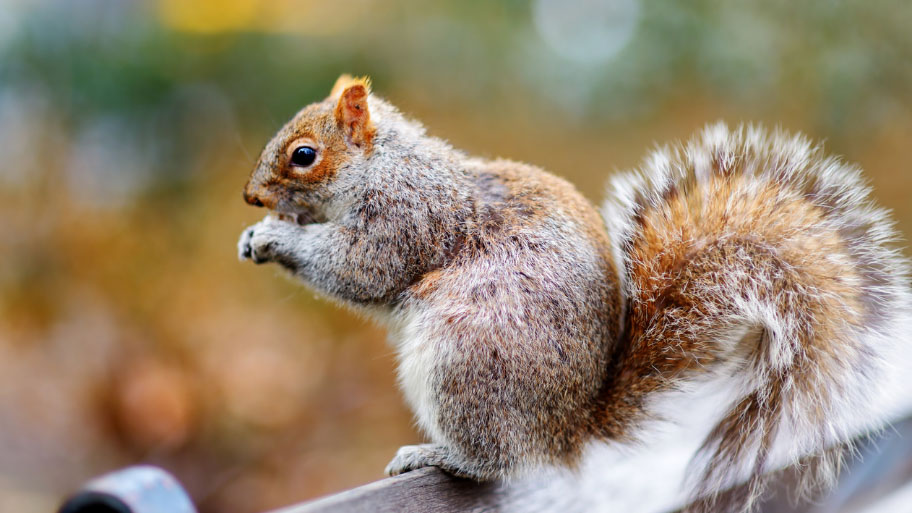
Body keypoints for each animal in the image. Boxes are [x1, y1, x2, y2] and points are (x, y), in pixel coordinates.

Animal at [238, 75, 912, 512]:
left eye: (304, 155)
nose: (251, 198)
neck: (381, 166)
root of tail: (569, 432)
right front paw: (256, 234)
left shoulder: (406, 219)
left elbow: (360, 269)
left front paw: (276, 236)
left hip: (463, 358)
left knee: (500, 461)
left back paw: (439, 456)